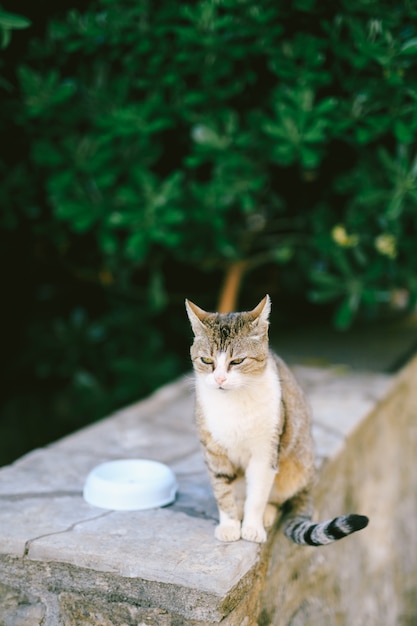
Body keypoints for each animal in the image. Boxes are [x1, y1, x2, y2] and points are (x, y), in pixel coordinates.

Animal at [185, 294, 368, 544]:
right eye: (206, 360)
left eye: (237, 361)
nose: (220, 379)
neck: (234, 402)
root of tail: (310, 481)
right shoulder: (214, 451)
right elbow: (223, 491)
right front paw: (229, 525)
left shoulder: (265, 452)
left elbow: (257, 496)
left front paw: (252, 527)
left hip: (294, 468)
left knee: (277, 498)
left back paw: (268, 515)